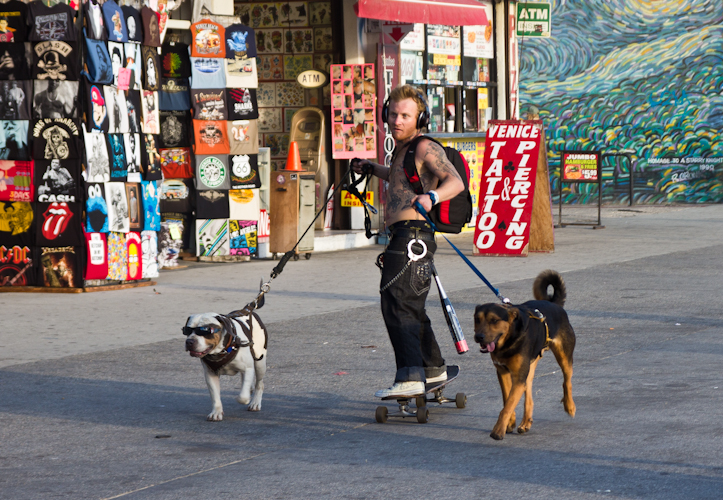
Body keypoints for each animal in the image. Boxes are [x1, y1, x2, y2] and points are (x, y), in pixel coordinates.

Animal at [476, 272, 576, 440]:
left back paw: (570, 406)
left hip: (564, 356)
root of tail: (554, 304)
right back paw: (525, 422)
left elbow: (508, 404)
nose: (478, 337)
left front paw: (498, 431)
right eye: (476, 320)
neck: (509, 339)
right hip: (529, 367)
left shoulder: (518, 376)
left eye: (494, 320)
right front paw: (509, 423)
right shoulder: (503, 372)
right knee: (528, 393)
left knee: (566, 381)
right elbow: (507, 400)